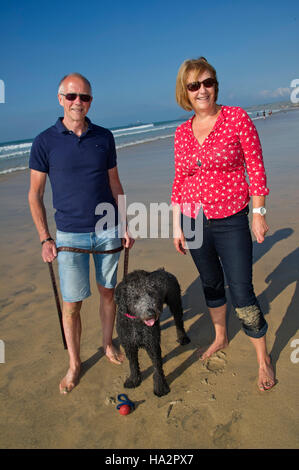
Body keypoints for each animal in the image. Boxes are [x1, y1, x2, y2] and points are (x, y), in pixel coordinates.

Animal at [116, 268, 191, 396]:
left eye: (151, 293)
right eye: (135, 296)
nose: (151, 313)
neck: (136, 323)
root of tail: (163, 270)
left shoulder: (152, 344)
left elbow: (157, 366)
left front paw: (160, 387)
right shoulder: (129, 345)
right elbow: (133, 364)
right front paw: (133, 380)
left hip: (175, 302)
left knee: (178, 321)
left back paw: (183, 338)